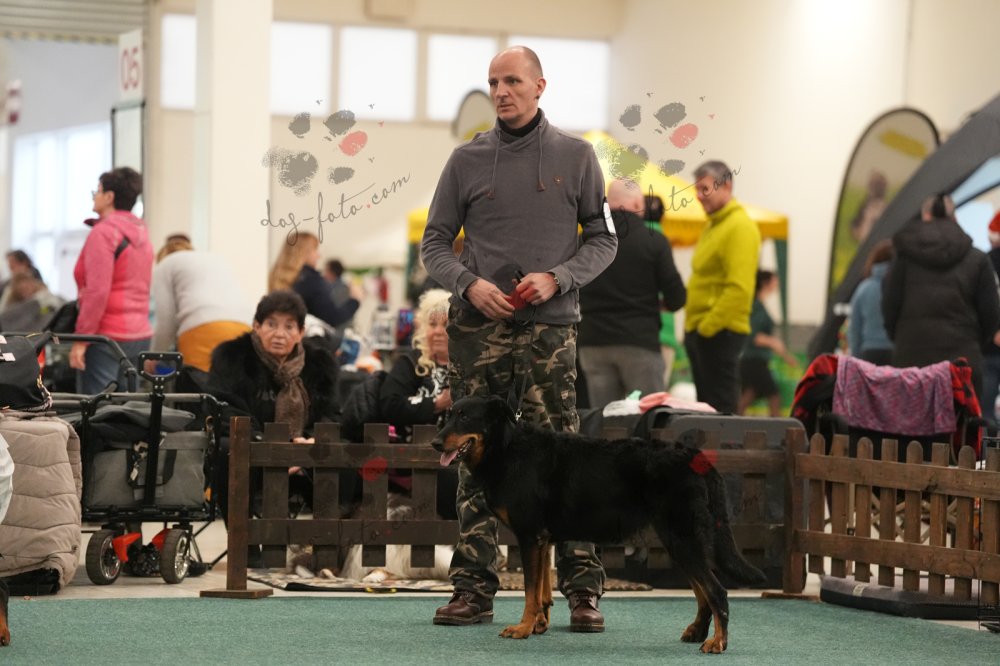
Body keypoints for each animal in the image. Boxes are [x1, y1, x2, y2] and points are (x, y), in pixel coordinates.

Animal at [431, 395, 765, 653]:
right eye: (447, 417)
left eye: (465, 417)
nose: (435, 443)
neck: (507, 447)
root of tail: (696, 457)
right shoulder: (542, 540)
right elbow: (541, 591)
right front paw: (539, 625)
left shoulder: (529, 536)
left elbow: (529, 591)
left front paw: (523, 628)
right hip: (678, 541)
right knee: (703, 592)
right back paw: (697, 632)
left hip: (682, 537)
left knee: (716, 591)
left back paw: (717, 643)